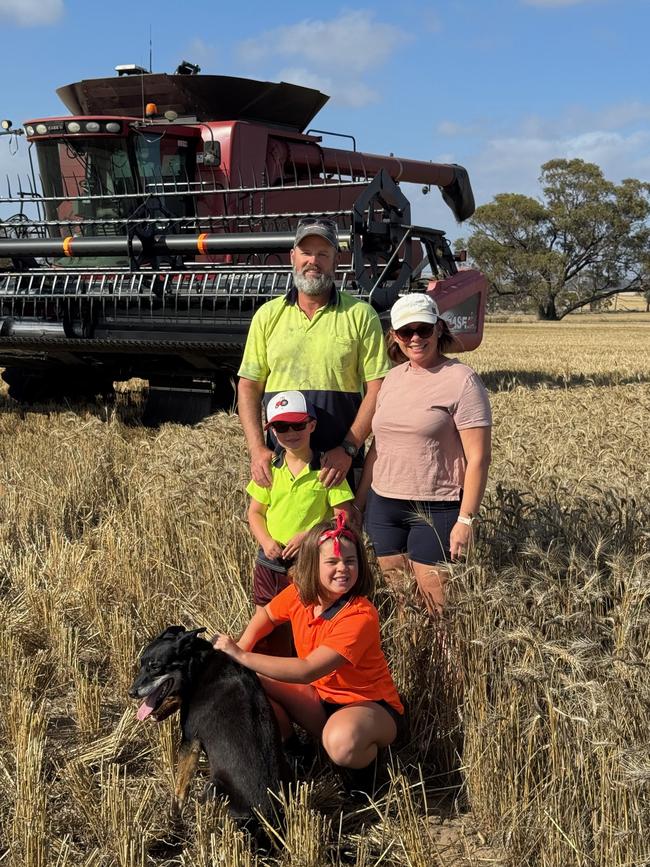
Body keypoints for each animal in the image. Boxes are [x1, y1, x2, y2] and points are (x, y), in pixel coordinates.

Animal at [129, 628, 286, 824]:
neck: (199, 665)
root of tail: (270, 817)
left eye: (155, 666)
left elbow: (180, 787)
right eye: (141, 663)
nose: (131, 692)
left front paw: (174, 816)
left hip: (213, 787)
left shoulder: (190, 741)